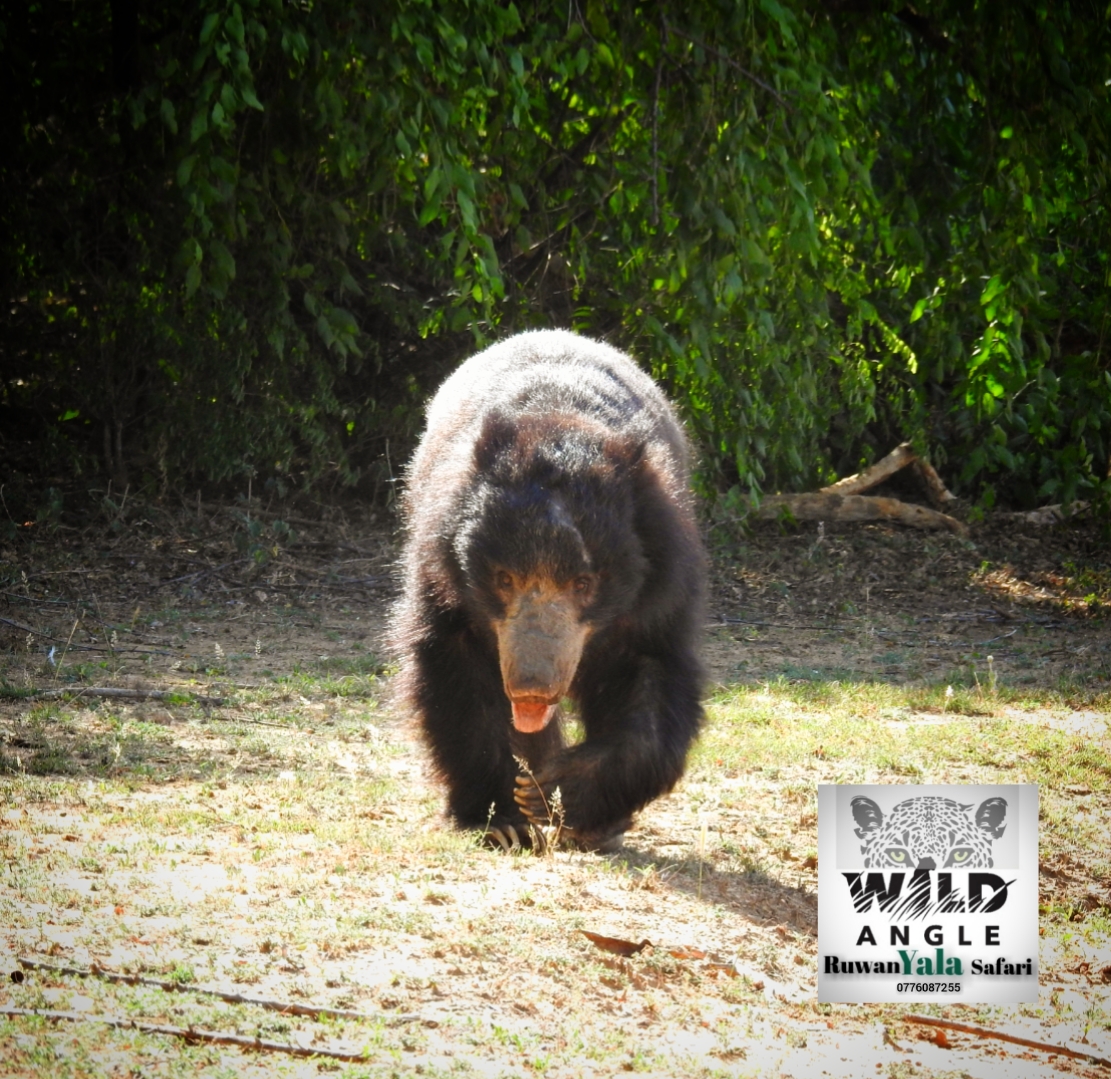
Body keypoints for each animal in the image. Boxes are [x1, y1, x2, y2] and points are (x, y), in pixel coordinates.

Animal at [393, 329, 705, 851]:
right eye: (504, 579)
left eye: (584, 583)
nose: (532, 688)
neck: (559, 420)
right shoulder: (442, 573)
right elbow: (458, 679)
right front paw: (504, 819)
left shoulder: (661, 583)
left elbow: (654, 678)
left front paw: (560, 794)